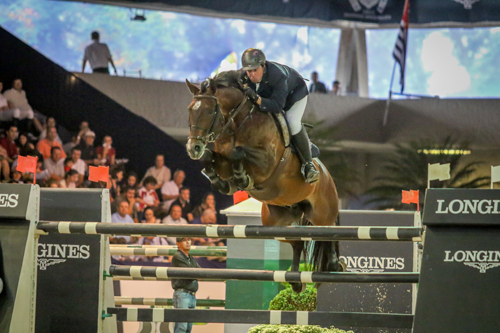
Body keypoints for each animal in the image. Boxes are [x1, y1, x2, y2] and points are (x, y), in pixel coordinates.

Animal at [187, 70, 344, 290]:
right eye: (190, 110)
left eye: (209, 111)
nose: (193, 148)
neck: (236, 125)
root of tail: (328, 176)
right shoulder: (221, 159)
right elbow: (210, 158)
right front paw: (222, 181)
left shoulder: (266, 164)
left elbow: (238, 152)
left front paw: (242, 178)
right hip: (274, 223)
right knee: (297, 242)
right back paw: (296, 280)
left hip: (322, 214)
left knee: (329, 233)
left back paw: (334, 265)